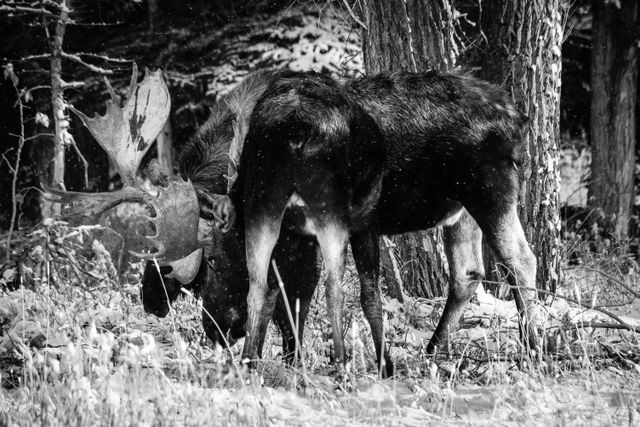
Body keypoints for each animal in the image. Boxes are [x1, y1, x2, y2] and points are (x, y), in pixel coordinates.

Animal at [51, 63, 552, 378]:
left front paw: (304, 361)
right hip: (457, 210)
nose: (217, 330)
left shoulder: (312, 235)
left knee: (522, 261)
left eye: (210, 264)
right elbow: (283, 298)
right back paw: (430, 354)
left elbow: (299, 299)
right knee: (468, 273)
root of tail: (520, 115)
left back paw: (534, 353)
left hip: (492, 191)